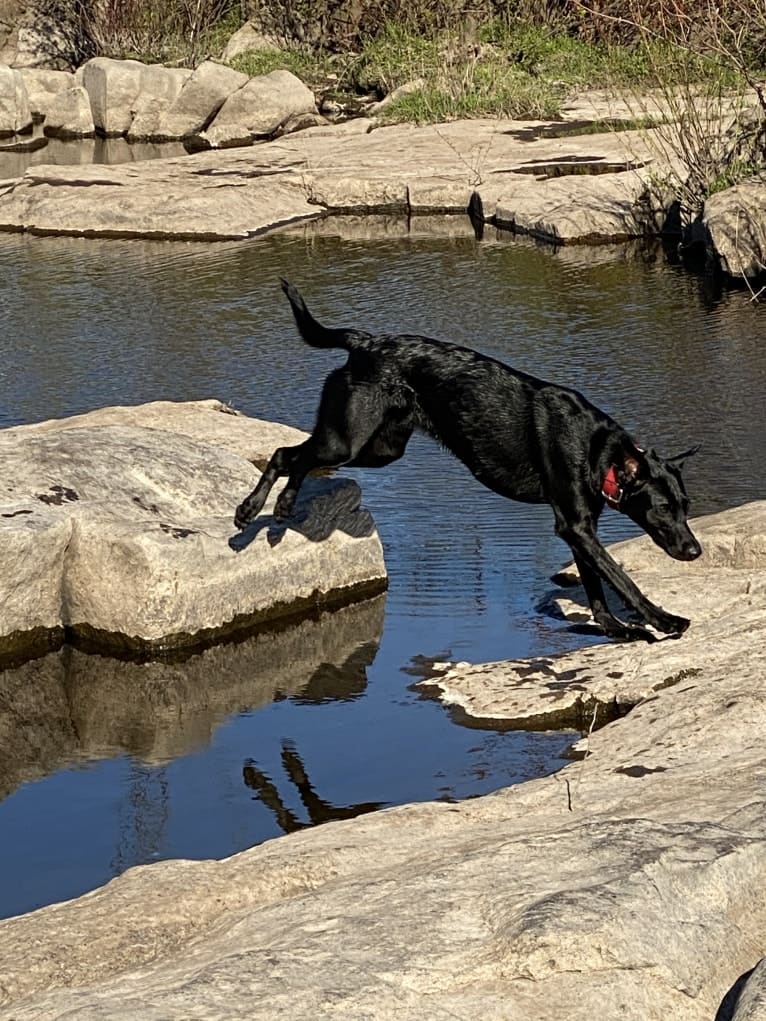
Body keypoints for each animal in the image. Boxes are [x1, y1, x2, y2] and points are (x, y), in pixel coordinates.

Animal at [236, 279, 706, 641]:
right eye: (662, 508)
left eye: (686, 507)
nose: (695, 550)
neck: (596, 449)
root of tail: (365, 342)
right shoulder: (575, 526)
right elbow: (622, 580)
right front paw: (663, 620)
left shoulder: (578, 528)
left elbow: (596, 585)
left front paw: (614, 628)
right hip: (347, 441)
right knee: (284, 454)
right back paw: (252, 511)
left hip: (380, 450)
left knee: (296, 457)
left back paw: (280, 506)